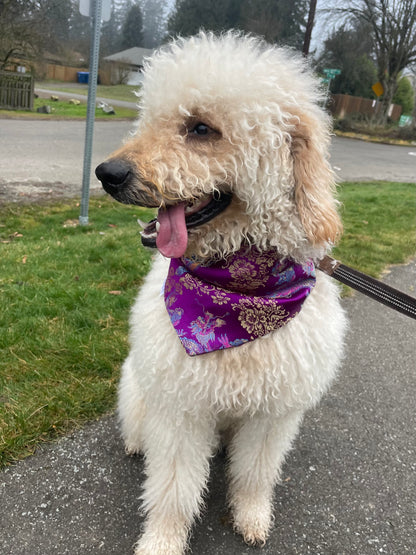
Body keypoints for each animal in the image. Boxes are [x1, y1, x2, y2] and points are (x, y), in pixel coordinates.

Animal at [96, 31, 346, 555]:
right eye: (148, 117)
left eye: (201, 128)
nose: (107, 173)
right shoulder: (182, 410)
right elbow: (173, 487)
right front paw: (162, 540)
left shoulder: (272, 414)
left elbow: (254, 473)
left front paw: (250, 515)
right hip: (140, 390)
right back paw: (135, 441)